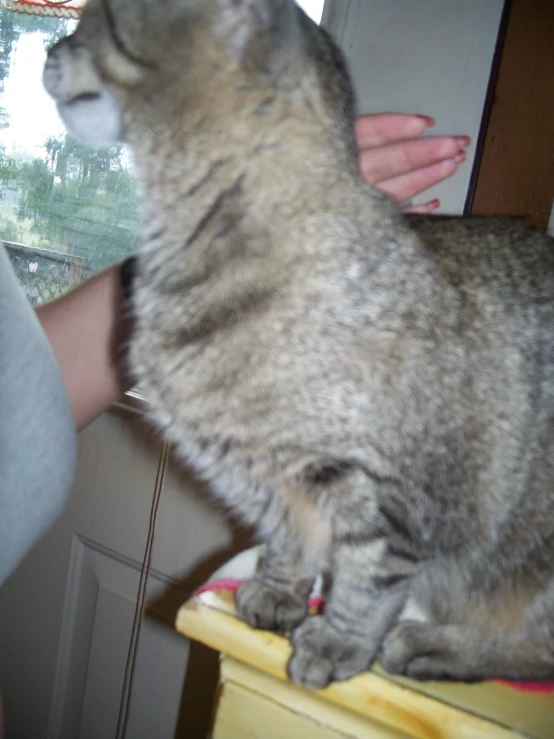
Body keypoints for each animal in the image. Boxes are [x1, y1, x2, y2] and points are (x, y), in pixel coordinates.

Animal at [43, 1, 552, 692]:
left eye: (95, 19)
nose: (50, 50)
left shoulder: (391, 498)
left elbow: (367, 582)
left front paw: (338, 641)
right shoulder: (274, 479)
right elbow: (290, 542)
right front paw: (279, 591)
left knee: (535, 650)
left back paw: (435, 646)